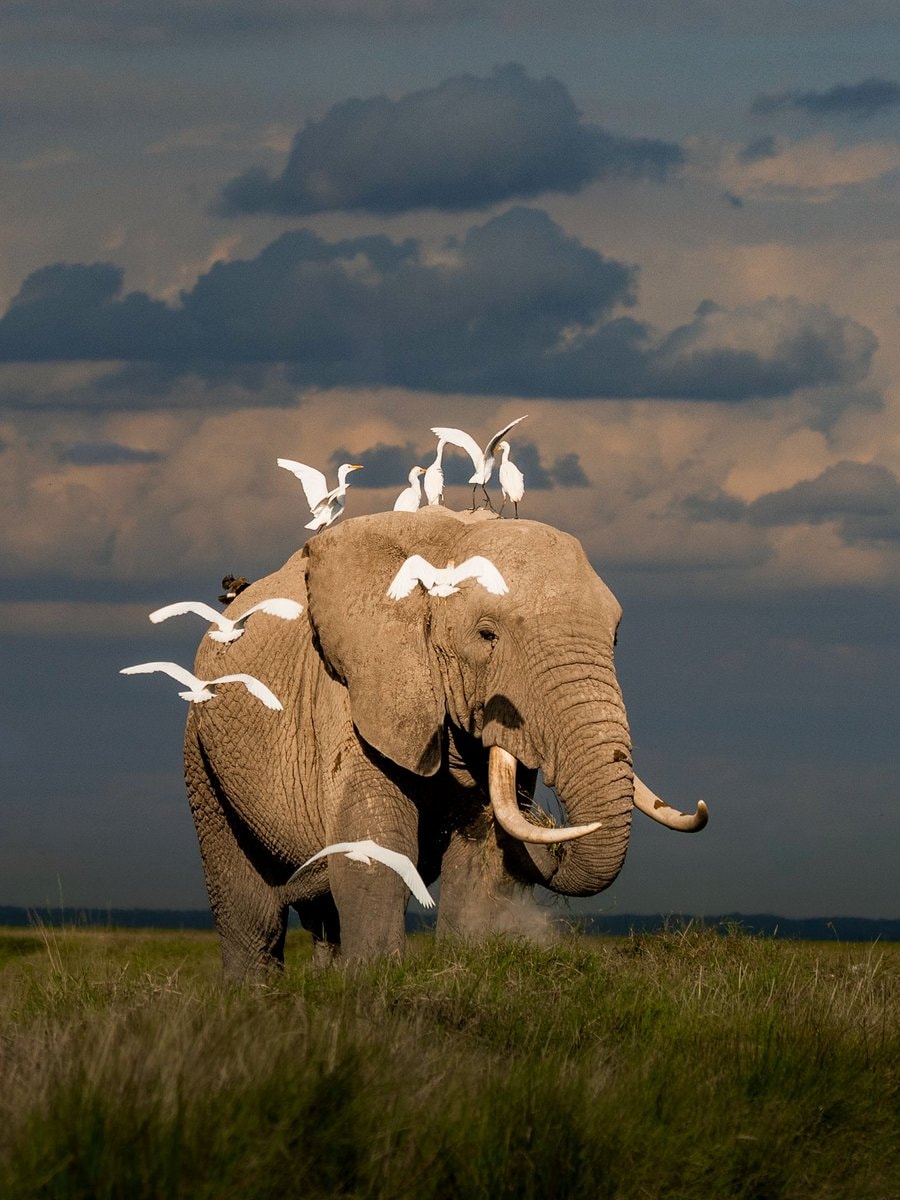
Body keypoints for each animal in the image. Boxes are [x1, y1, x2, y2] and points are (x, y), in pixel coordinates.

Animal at [183, 507, 707, 979]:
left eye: (615, 638)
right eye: (487, 635)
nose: (546, 818)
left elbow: (480, 858)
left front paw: (464, 966)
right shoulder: (356, 692)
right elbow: (376, 848)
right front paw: (374, 983)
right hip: (202, 751)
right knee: (250, 909)